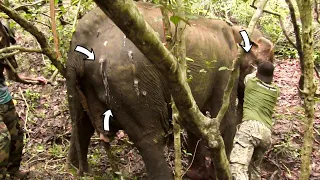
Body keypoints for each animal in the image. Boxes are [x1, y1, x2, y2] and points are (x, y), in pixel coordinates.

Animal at [65, 1, 276, 180]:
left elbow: (195, 121)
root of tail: (81, 44)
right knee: (150, 138)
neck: (236, 32)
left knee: (81, 125)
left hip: (78, 84)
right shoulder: (226, 70)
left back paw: (78, 171)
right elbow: (224, 121)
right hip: (131, 82)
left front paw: (197, 173)